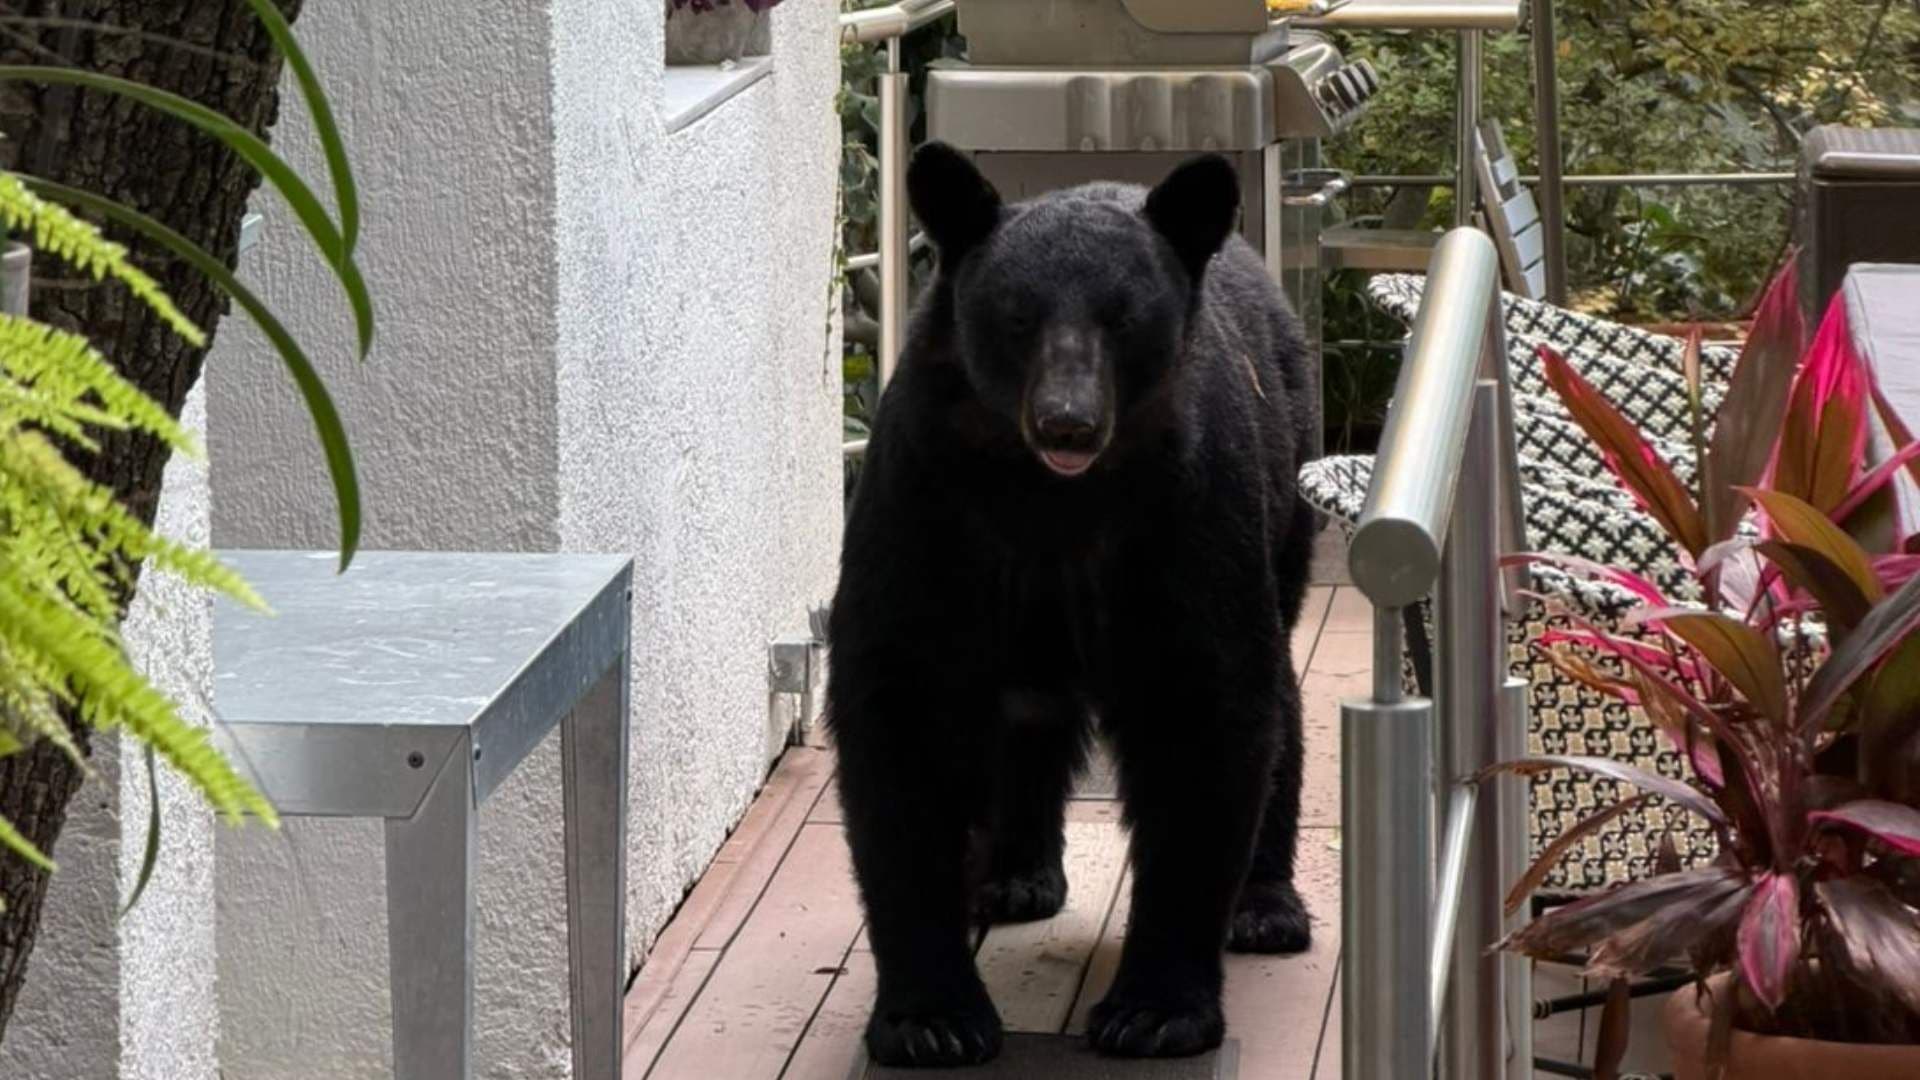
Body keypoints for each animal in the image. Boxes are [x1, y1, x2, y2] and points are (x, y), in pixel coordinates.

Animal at [826, 142, 1316, 1068]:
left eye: (1123, 318)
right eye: (1017, 315)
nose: (1068, 424)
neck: (1047, 500)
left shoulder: (1182, 512)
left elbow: (1204, 709)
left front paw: (1156, 1011)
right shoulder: (929, 501)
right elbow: (901, 712)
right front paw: (931, 1018)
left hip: (1287, 487)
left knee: (1278, 691)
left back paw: (1264, 903)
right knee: (1025, 713)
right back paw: (1015, 873)